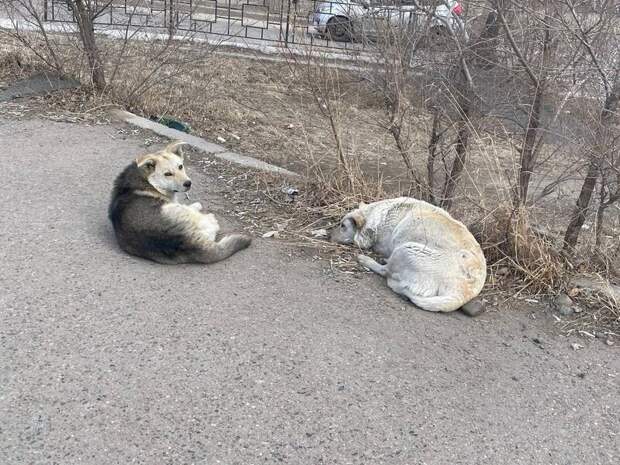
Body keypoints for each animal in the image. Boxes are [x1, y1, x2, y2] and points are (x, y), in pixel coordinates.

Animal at [109, 140, 252, 262]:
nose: (188, 183)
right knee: (213, 224)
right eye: (167, 174)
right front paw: (196, 205)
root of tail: (187, 242)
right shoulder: (175, 203)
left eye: (180, 166)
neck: (147, 179)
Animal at [332, 197, 486, 312]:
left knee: (385, 271)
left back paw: (366, 260)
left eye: (342, 226)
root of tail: (462, 295)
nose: (328, 235)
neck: (379, 217)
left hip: (405, 250)